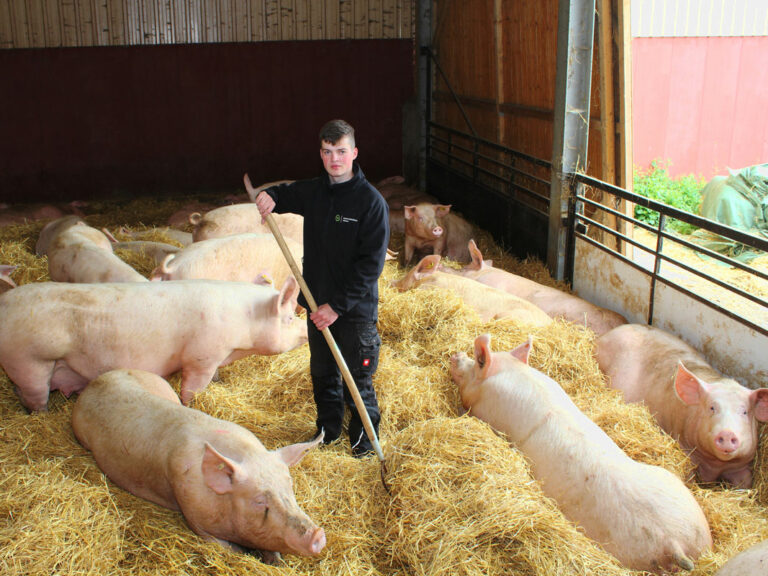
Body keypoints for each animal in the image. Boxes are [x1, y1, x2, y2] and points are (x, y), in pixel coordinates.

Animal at [0, 276, 306, 408]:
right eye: (290, 317)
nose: (306, 330)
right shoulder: (201, 356)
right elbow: (193, 386)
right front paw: (191, 403)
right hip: (29, 361)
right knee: (35, 396)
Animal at [72, 368, 324, 564]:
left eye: (289, 487)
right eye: (259, 501)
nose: (318, 535)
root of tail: (99, 379)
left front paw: (275, 560)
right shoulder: (192, 512)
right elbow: (226, 547)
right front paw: (248, 554)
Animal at [596, 324, 768, 486]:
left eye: (744, 412)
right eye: (711, 408)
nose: (727, 434)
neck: (715, 466)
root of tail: (611, 333)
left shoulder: (742, 466)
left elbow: (746, 483)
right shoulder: (685, 448)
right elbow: (689, 478)